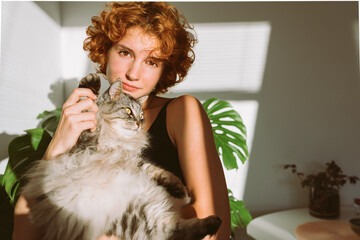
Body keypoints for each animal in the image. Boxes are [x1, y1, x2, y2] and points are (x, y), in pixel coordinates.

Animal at [22, 73, 221, 240]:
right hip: (134, 216)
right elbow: (87, 108)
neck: (115, 138)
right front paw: (91, 83)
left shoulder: (133, 161)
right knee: (171, 232)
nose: (139, 124)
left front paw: (181, 190)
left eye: (142, 116)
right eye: (127, 111)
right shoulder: (86, 144)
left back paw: (212, 221)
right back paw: (211, 222)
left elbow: (159, 171)